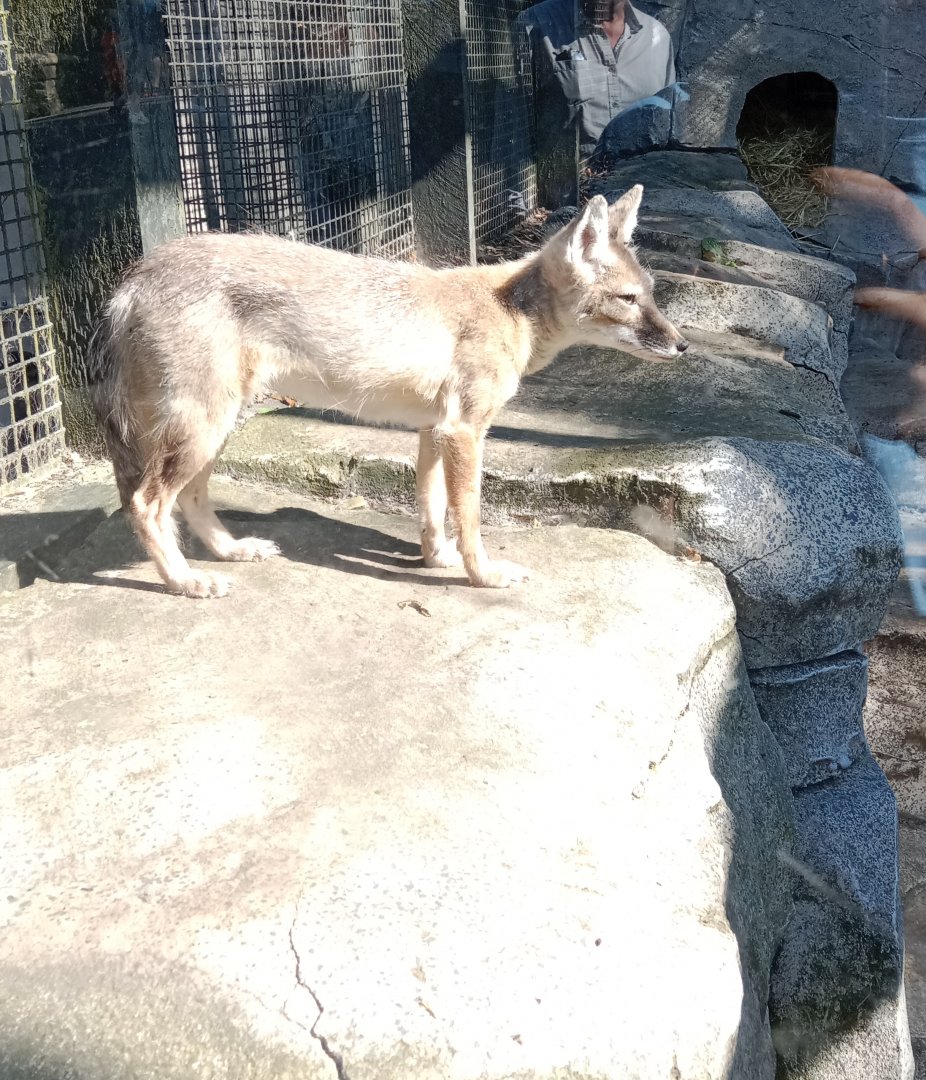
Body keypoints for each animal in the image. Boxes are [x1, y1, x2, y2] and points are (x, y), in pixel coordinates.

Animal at [88, 184, 687, 598]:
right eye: (629, 300)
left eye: (652, 294)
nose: (683, 346)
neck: (509, 309)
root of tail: (135, 275)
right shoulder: (465, 432)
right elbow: (469, 517)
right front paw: (483, 576)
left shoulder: (433, 431)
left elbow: (432, 510)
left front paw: (438, 560)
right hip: (203, 430)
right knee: (144, 505)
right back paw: (185, 582)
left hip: (214, 431)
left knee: (187, 499)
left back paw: (230, 552)